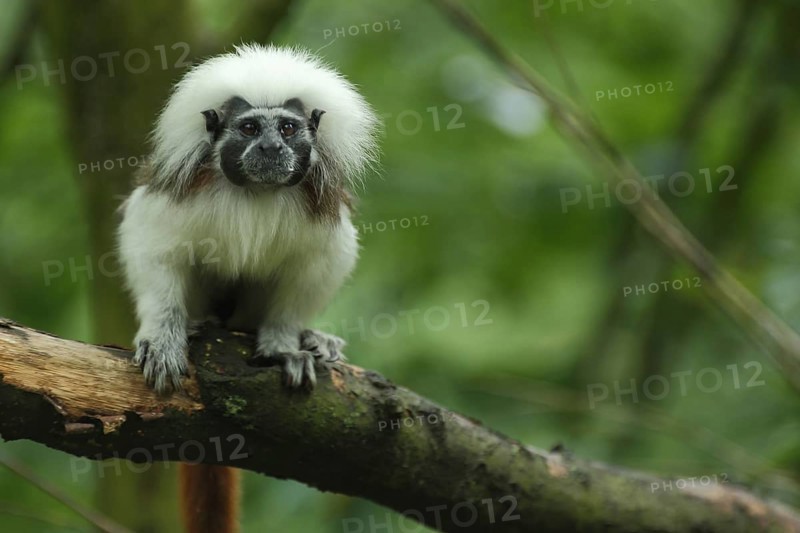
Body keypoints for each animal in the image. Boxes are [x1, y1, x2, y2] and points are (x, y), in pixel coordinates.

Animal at [117, 44, 379, 533]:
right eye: (251, 128)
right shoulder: (182, 189)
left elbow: (315, 267)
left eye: (289, 128)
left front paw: (283, 346)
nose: (272, 147)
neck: (257, 192)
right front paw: (163, 338)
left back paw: (314, 340)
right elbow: (153, 247)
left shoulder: (318, 204)